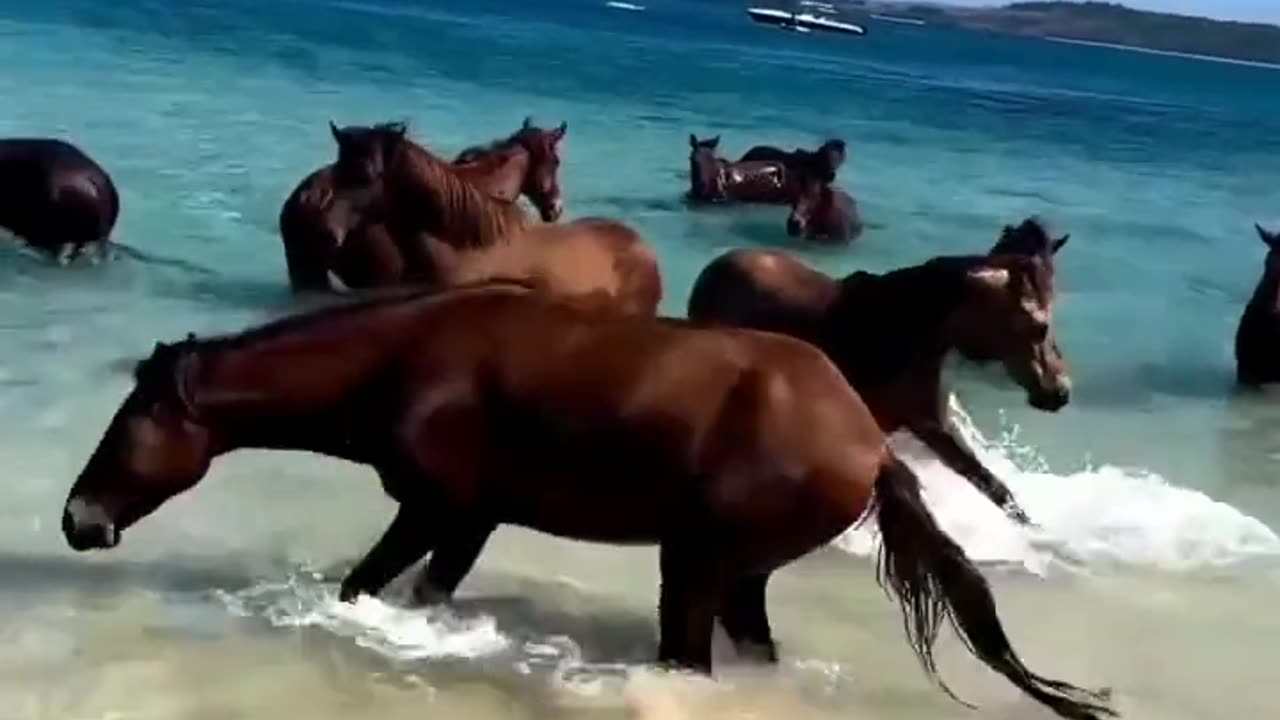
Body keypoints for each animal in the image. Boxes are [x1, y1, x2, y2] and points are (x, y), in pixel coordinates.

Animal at [64, 280, 1116, 717]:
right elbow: (425, 593)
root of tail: (866, 443)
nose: (78, 519)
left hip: (697, 565)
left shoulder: (435, 508)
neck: (406, 360)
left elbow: (361, 587)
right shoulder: (471, 520)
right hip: (739, 577)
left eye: (130, 424)